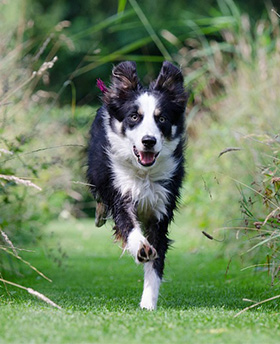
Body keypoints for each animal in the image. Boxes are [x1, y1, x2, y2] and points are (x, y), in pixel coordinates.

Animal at [87, 60, 188, 310]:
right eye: (134, 117)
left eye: (162, 119)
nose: (148, 141)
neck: (144, 174)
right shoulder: (120, 191)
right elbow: (128, 224)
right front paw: (140, 247)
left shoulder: (161, 206)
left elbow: (156, 261)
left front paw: (148, 302)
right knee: (100, 198)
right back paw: (100, 215)